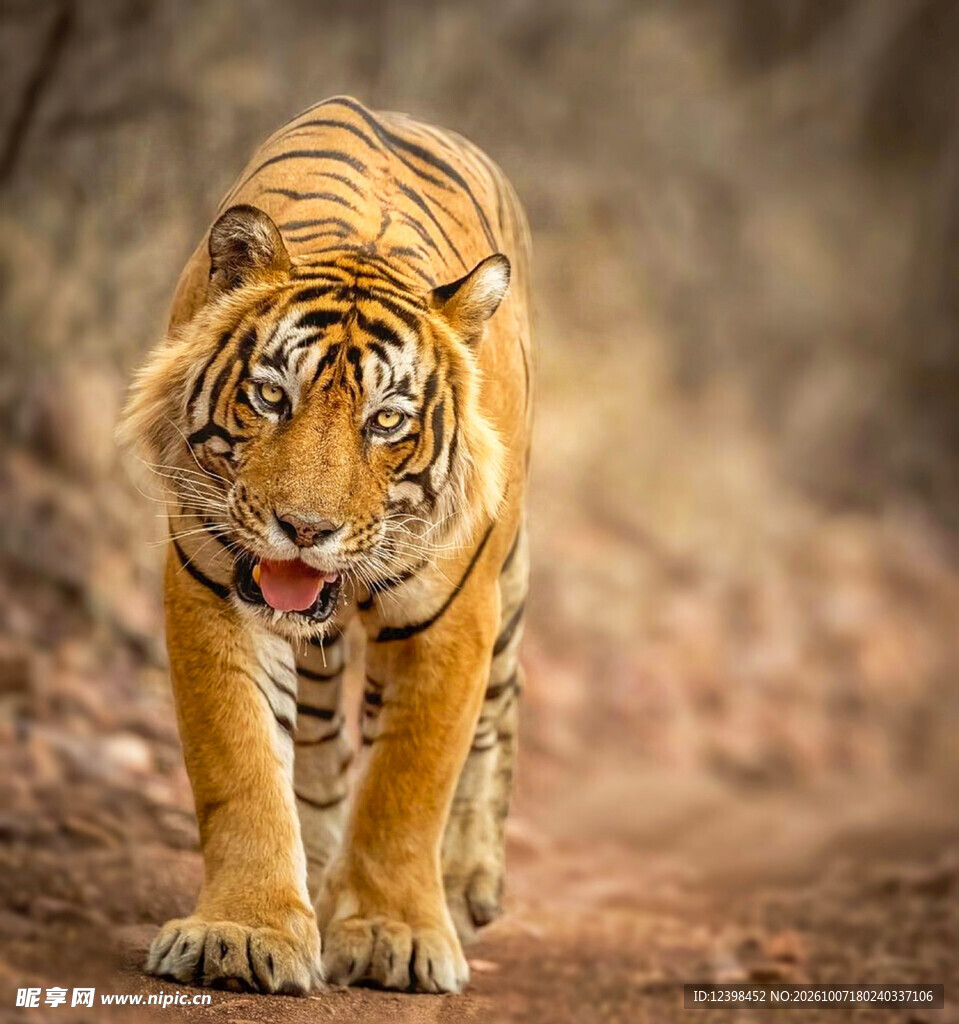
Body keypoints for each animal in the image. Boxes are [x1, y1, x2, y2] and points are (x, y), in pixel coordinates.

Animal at [118, 95, 532, 995]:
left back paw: (467, 880)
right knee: (314, 736)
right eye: (272, 397)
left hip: (506, 573)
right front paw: (243, 931)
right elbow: (240, 765)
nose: (306, 531)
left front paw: (393, 936)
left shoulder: (452, 616)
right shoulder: (211, 585)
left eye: (387, 421)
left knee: (498, 709)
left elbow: (409, 782)